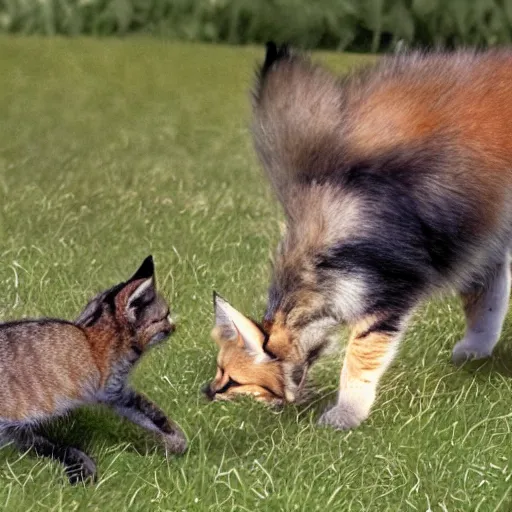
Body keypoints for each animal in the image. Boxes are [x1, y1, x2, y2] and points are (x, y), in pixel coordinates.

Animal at [203, 42, 512, 430]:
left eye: (232, 380)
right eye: (218, 369)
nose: (205, 392)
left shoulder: (384, 295)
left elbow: (359, 359)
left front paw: (345, 415)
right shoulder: (479, 244)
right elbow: (486, 299)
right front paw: (476, 348)